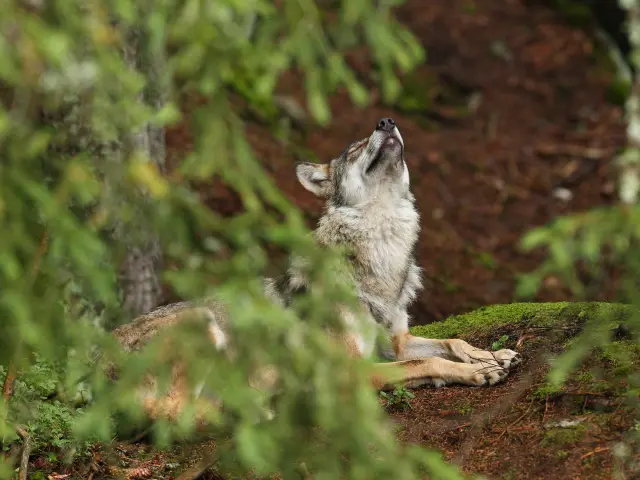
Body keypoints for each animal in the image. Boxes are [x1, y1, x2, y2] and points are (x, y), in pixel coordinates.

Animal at [111, 117, 521, 421]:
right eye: (355, 149)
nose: (386, 121)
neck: (380, 260)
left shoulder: (395, 343)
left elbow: (450, 344)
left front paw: (492, 356)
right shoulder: (353, 368)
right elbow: (428, 360)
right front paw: (478, 372)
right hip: (201, 322)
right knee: (175, 413)